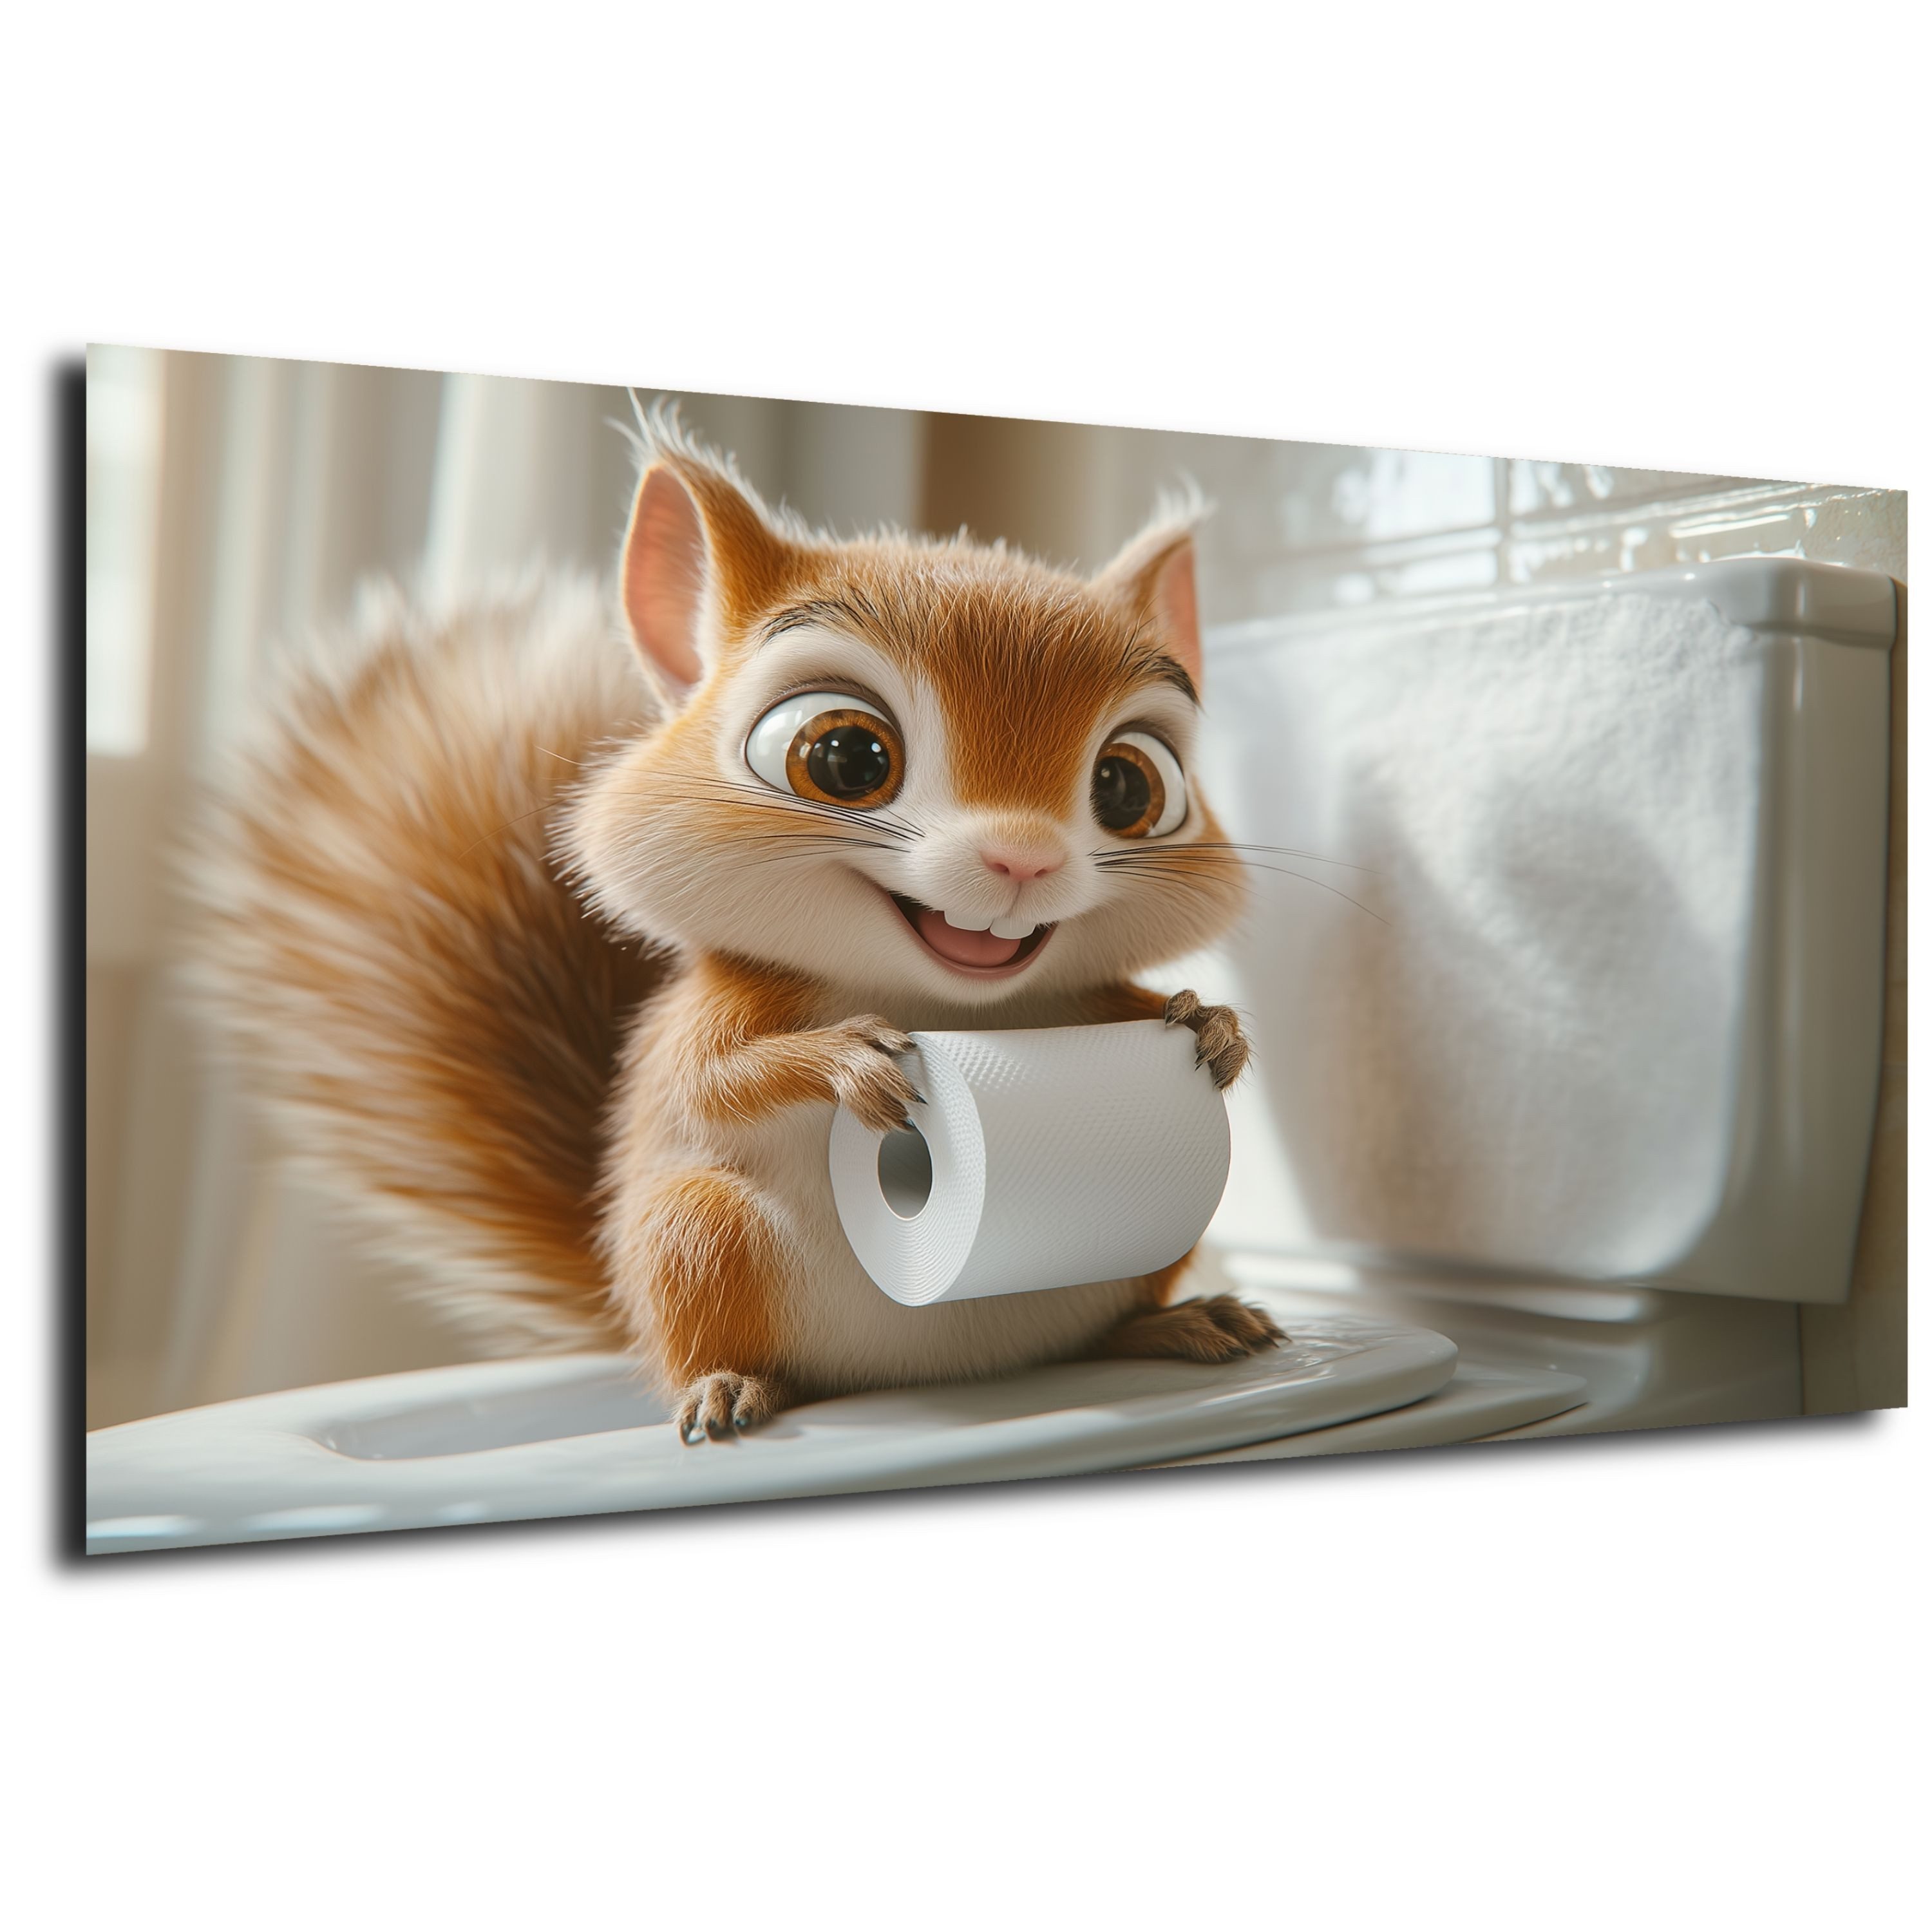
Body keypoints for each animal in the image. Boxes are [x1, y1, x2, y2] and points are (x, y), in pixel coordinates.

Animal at [184, 411, 1283, 1443]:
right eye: (844, 757)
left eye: (1129, 785)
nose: (1023, 862)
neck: (950, 999)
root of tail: (942, 1374)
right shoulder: (708, 1018)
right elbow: (710, 1083)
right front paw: (844, 1062)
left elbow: (1138, 1004)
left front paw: (1209, 1023)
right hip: (697, 1237)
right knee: (722, 1320)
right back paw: (731, 1386)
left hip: (1160, 1233)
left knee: (1108, 1317)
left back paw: (1175, 1324)